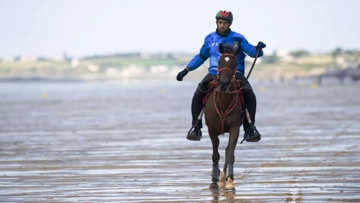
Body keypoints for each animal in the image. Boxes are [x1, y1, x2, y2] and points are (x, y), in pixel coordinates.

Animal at [202, 42, 245, 190]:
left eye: (234, 63)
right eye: (219, 61)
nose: (224, 84)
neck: (224, 102)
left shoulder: (235, 127)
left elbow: (230, 153)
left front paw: (230, 182)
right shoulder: (211, 128)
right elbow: (215, 155)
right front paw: (213, 182)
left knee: (227, 151)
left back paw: (223, 179)